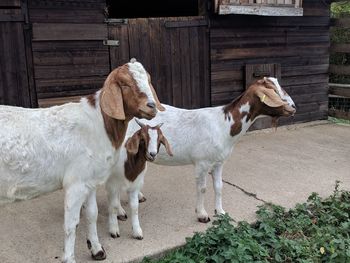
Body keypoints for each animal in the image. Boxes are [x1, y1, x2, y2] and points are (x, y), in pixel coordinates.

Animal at [0, 59, 164, 263]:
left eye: (148, 80)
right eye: (125, 84)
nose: (151, 106)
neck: (99, 124)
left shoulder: (90, 180)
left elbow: (91, 214)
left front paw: (97, 249)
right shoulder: (76, 183)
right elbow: (71, 224)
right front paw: (69, 258)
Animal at [106, 77, 296, 225]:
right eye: (273, 92)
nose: (293, 107)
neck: (224, 124)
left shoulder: (219, 162)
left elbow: (219, 186)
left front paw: (220, 212)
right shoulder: (202, 163)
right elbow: (203, 188)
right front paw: (202, 215)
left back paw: (138, 196)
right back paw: (121, 212)